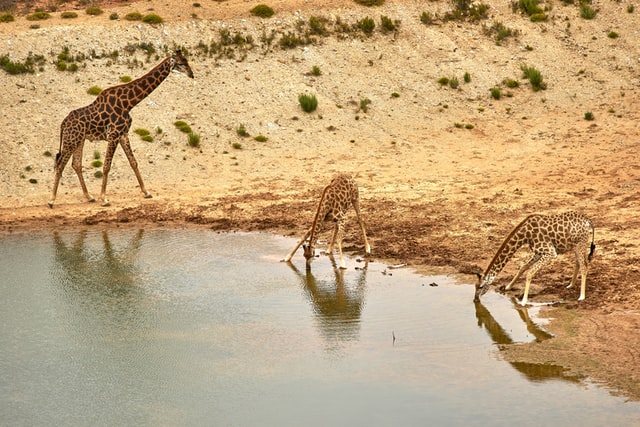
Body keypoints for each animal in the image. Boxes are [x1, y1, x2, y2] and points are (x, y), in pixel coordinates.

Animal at [47, 49, 194, 208]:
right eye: (180, 63)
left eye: (186, 60)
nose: (192, 74)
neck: (128, 103)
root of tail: (63, 123)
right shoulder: (114, 134)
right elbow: (106, 165)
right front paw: (104, 199)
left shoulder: (123, 134)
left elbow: (133, 162)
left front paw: (146, 192)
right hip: (71, 140)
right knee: (60, 165)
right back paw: (52, 200)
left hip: (79, 140)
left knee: (76, 165)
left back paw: (89, 197)